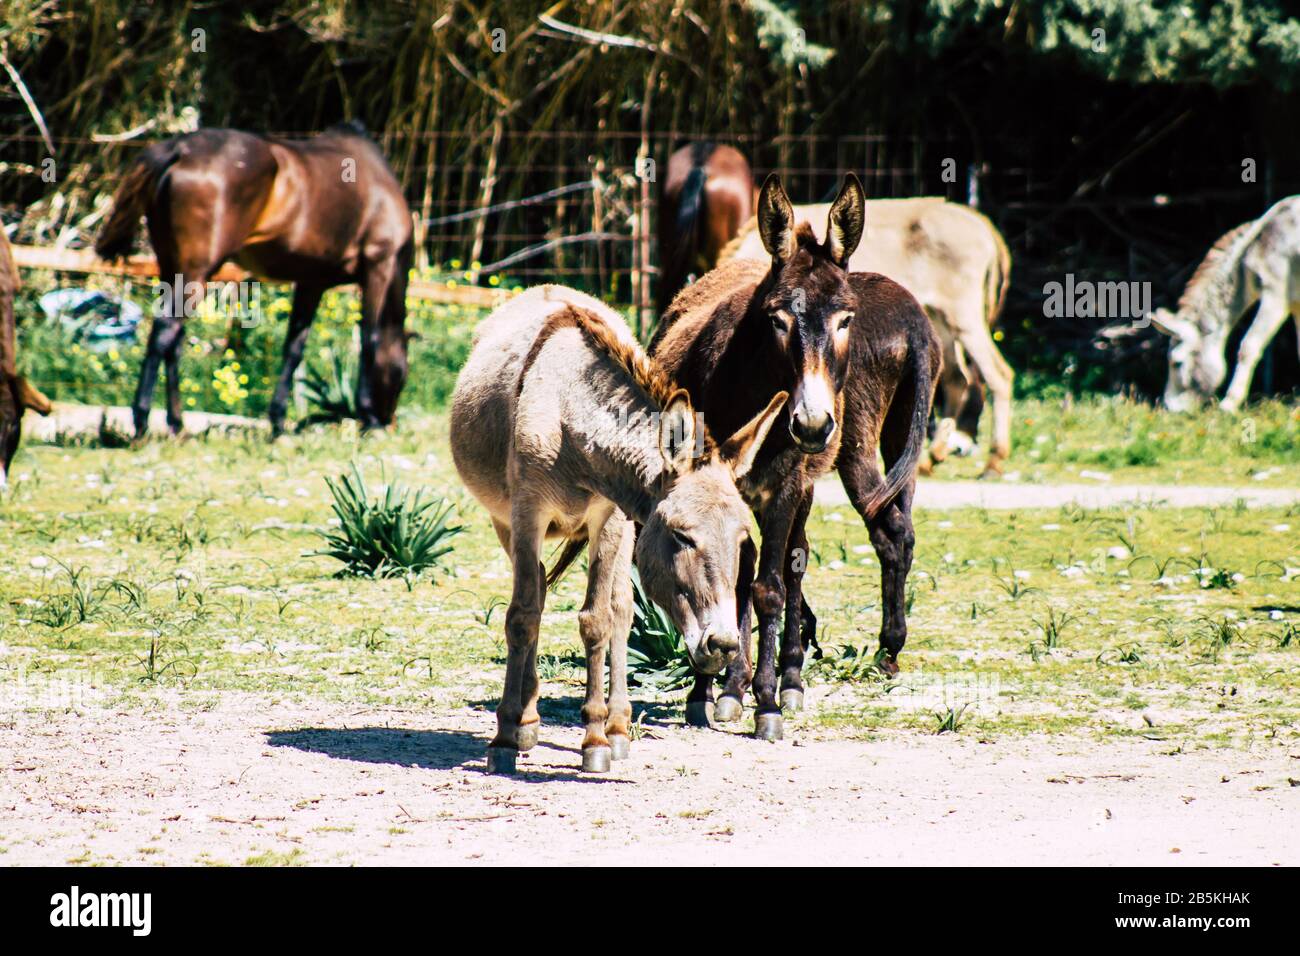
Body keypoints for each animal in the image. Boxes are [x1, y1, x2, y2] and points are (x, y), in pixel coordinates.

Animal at [96, 123, 410, 437]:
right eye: (401, 375)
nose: (389, 421)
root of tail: (179, 149)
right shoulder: (378, 265)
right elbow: (369, 338)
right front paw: (367, 416)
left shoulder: (312, 281)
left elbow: (294, 347)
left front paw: (278, 421)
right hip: (195, 275)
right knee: (164, 330)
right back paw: (142, 421)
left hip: (171, 269)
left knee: (175, 338)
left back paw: (176, 423)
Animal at [655, 174, 941, 738]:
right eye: (777, 319)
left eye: (845, 319)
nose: (810, 424)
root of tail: (917, 323)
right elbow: (733, 577)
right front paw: (713, 692)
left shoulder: (786, 486)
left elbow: (767, 587)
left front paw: (764, 700)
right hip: (896, 436)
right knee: (888, 531)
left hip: (847, 455)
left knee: (816, 555)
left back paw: (803, 675)